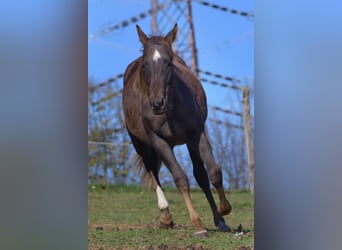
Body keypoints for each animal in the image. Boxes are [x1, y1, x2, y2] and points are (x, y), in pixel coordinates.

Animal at [121, 24, 231, 237]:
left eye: (168, 63)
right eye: (145, 65)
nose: (157, 103)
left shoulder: (197, 135)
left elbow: (213, 171)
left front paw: (224, 211)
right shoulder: (159, 142)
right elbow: (180, 179)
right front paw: (198, 225)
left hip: (187, 143)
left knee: (201, 175)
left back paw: (219, 219)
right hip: (141, 144)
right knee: (152, 170)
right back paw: (165, 216)